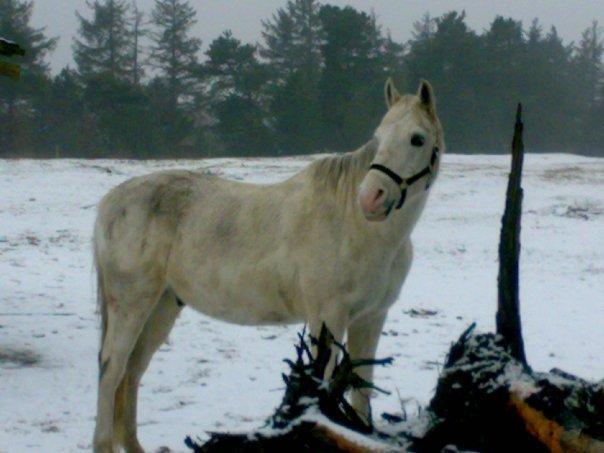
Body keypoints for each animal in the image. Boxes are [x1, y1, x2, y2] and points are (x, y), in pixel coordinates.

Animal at [93, 77, 444, 448]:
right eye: (379, 137)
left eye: (417, 139)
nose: (370, 198)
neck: (356, 225)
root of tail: (111, 202)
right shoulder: (328, 317)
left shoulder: (371, 318)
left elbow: (362, 386)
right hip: (132, 304)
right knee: (112, 368)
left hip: (161, 306)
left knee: (132, 372)